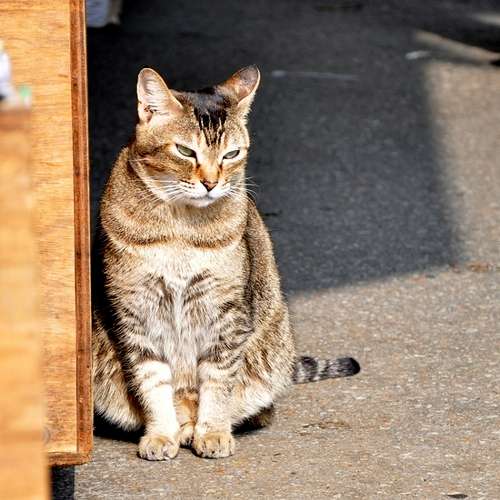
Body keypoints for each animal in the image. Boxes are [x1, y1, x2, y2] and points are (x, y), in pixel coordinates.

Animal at [92, 65, 360, 460]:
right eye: (185, 151)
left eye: (231, 153)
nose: (211, 183)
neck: (181, 230)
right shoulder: (135, 313)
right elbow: (152, 380)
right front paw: (161, 434)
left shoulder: (228, 314)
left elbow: (218, 380)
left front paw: (214, 432)